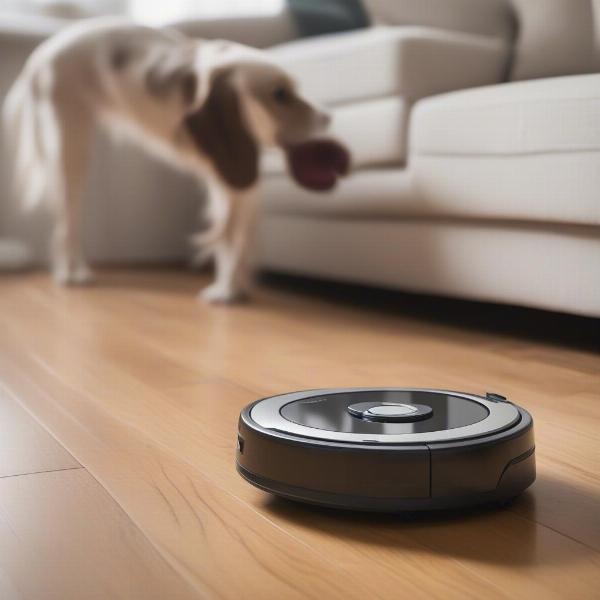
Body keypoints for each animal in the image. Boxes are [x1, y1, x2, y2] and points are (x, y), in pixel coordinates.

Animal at [3, 18, 352, 302]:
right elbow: (227, 239)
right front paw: (226, 291)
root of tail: (42, 53)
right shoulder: (226, 182)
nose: (330, 116)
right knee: (67, 222)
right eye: (280, 95)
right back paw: (72, 275)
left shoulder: (240, 186)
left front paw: (236, 287)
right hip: (71, 144)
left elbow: (239, 240)